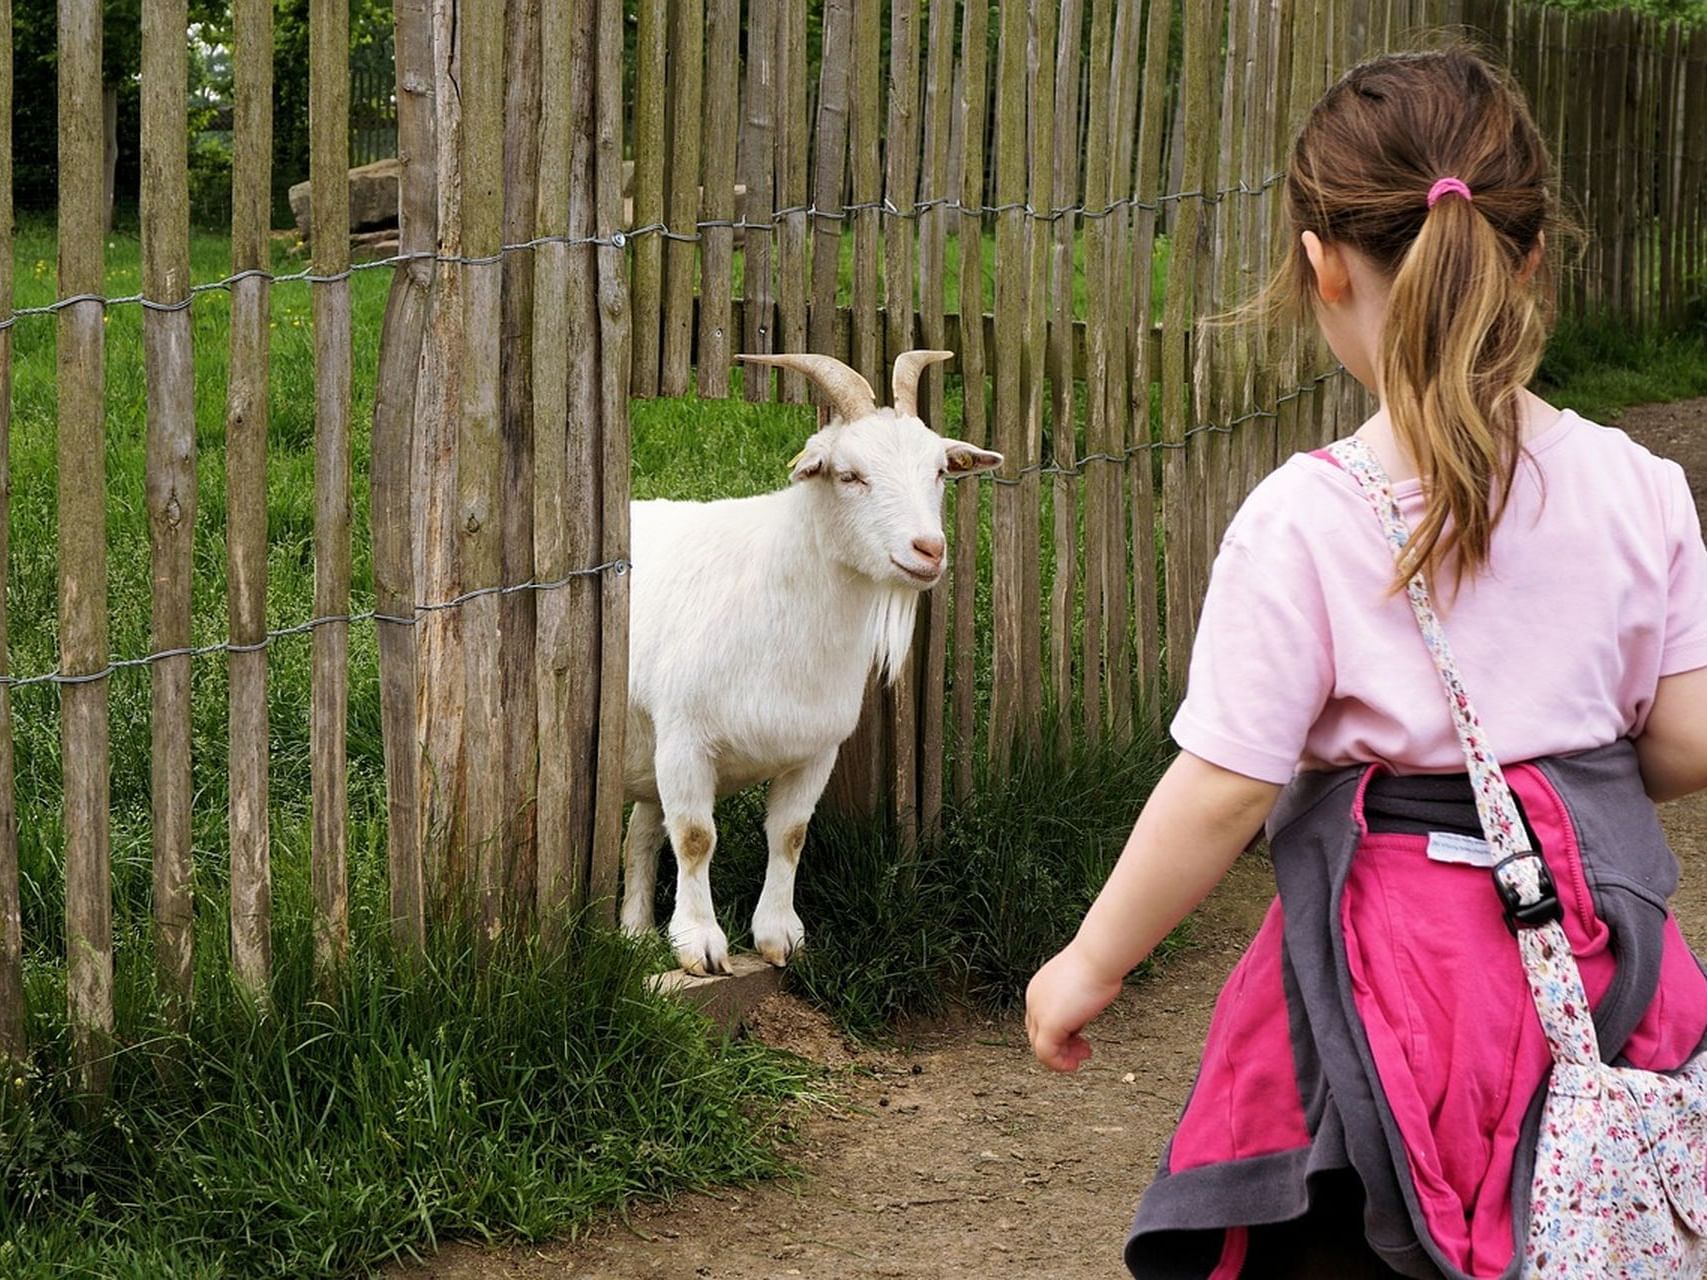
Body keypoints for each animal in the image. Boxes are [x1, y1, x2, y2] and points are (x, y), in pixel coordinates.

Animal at [624, 351, 996, 969]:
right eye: (849, 475)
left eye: (940, 472)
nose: (929, 549)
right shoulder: (684, 741)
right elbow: (696, 837)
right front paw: (700, 944)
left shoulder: (816, 751)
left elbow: (791, 834)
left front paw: (780, 936)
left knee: (641, 834)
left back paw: (632, 932)